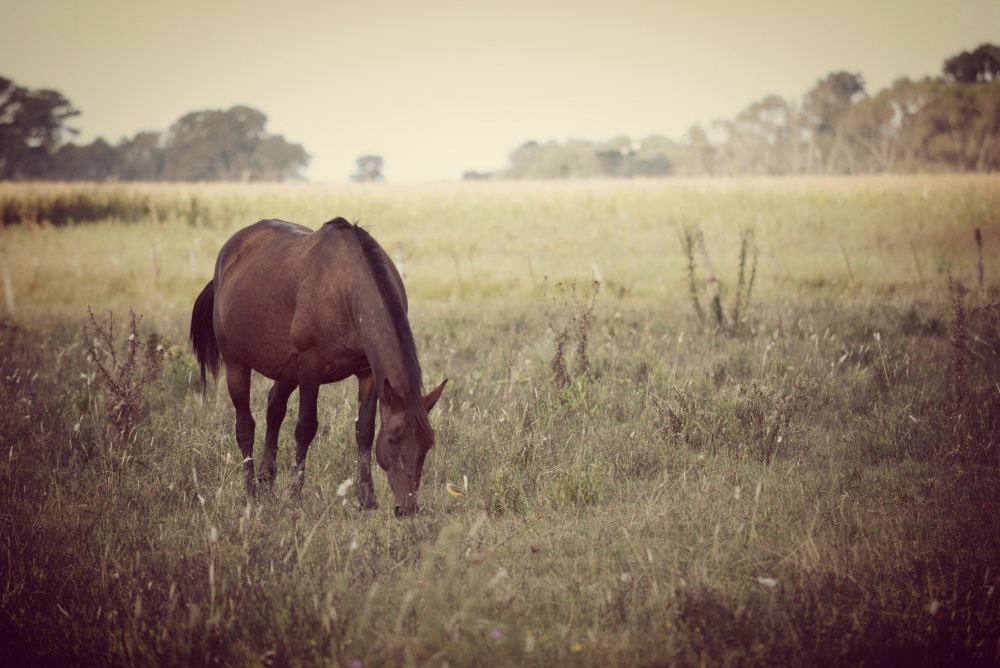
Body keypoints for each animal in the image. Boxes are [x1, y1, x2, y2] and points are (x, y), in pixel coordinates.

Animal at [189, 215, 448, 516]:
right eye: (393, 441)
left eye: (427, 445)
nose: (407, 508)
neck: (346, 290)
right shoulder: (310, 371)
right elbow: (305, 429)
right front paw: (293, 497)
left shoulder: (368, 374)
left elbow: (365, 430)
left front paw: (366, 498)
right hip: (236, 365)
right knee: (245, 427)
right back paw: (252, 493)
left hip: (285, 371)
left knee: (274, 410)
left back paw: (267, 482)